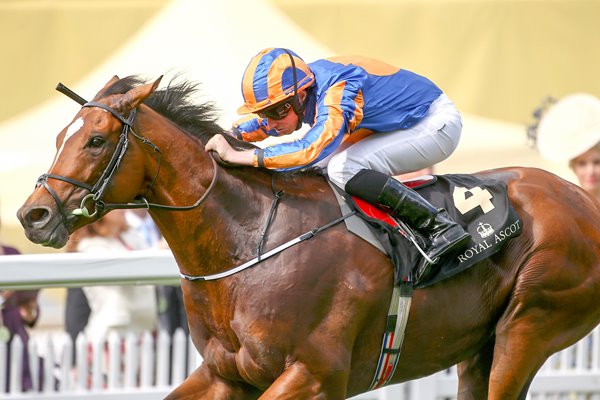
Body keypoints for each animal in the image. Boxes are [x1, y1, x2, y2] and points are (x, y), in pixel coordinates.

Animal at [15, 74, 600, 396]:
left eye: (95, 140)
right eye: (62, 136)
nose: (32, 216)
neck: (249, 240)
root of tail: (581, 197)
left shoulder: (314, 374)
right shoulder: (227, 376)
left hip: (530, 326)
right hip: (479, 348)